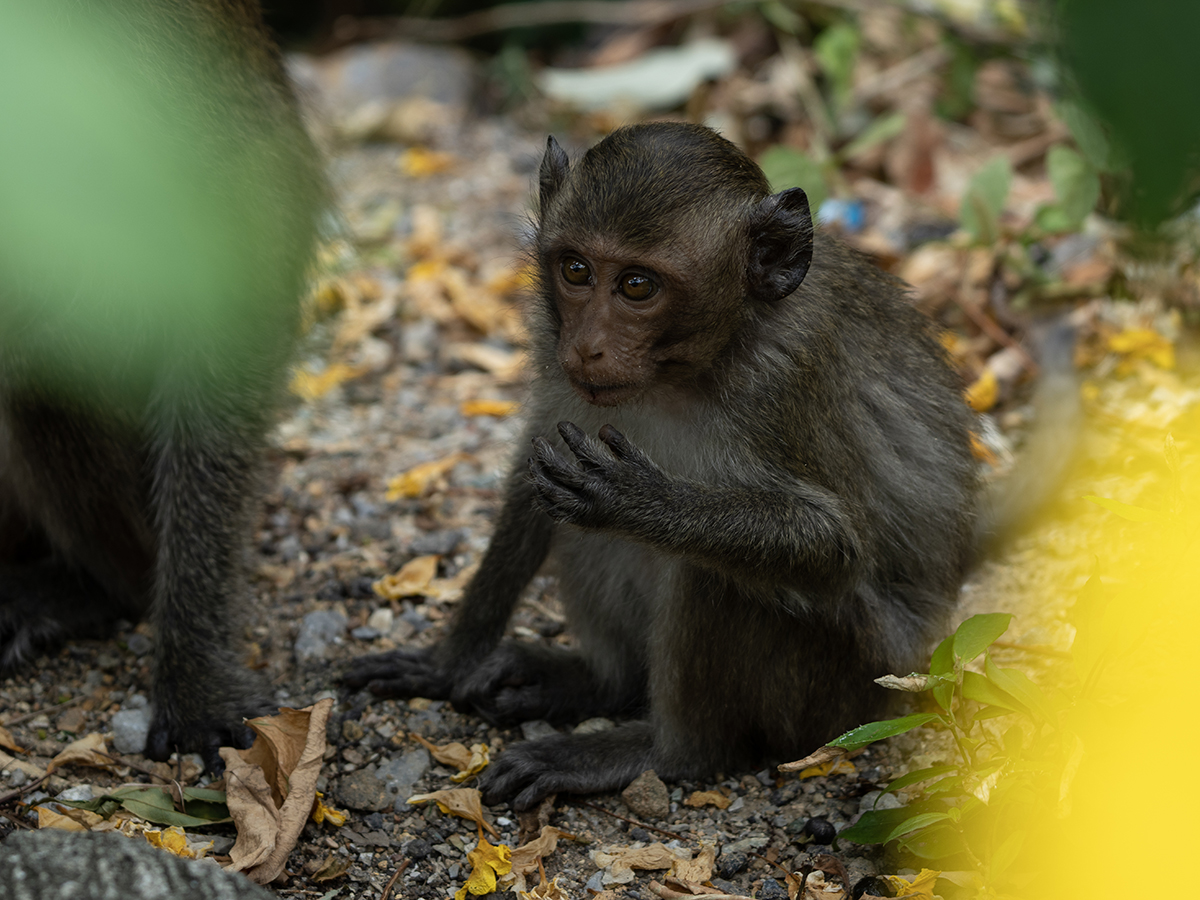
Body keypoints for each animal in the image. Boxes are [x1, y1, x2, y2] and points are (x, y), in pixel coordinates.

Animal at [345, 123, 974, 806]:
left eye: (637, 287)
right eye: (576, 269)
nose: (586, 346)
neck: (688, 369)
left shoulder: (789, 382)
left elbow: (835, 547)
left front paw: (641, 502)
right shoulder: (552, 350)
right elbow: (533, 481)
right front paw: (446, 663)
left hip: (849, 683)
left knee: (714, 575)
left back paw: (661, 751)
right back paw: (595, 683)